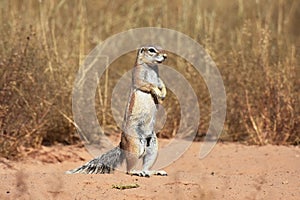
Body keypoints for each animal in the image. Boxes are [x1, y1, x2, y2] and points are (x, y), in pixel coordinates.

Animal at [66, 45, 168, 177]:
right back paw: (137, 172)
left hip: (153, 145)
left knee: (147, 162)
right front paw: (157, 91)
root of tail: (122, 144)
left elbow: (162, 85)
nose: (165, 56)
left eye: (161, 48)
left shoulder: (159, 79)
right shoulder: (139, 76)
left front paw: (163, 93)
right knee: (129, 168)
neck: (151, 67)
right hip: (135, 143)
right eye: (151, 50)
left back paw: (154, 171)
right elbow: (147, 85)